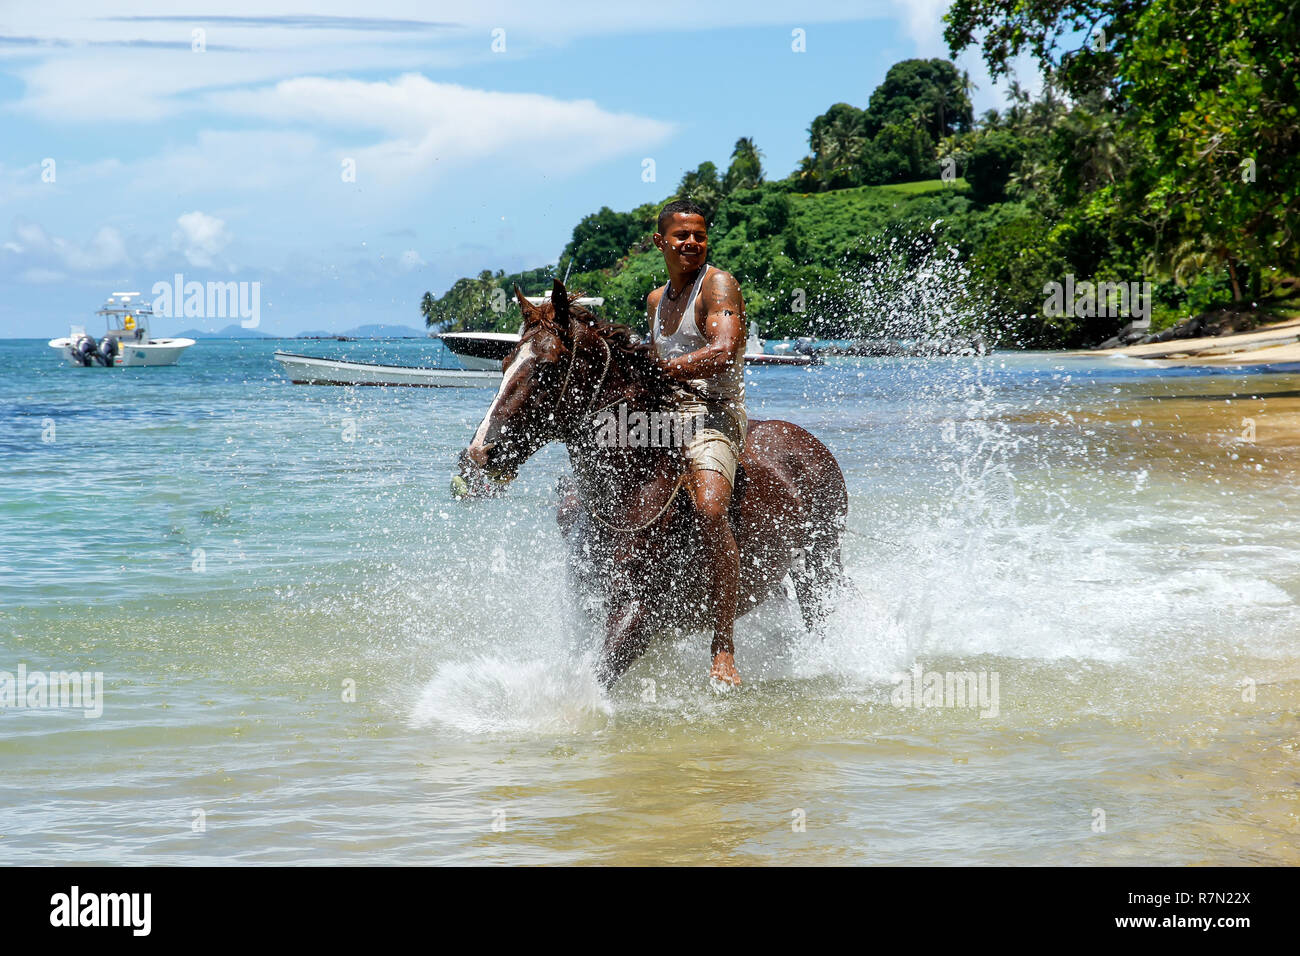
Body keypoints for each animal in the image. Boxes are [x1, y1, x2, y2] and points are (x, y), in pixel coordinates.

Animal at [460, 277, 852, 686]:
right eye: (505, 363)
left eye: (547, 369)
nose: (478, 452)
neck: (629, 490)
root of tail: (808, 441)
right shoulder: (590, 608)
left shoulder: (640, 614)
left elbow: (596, 679)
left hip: (821, 562)